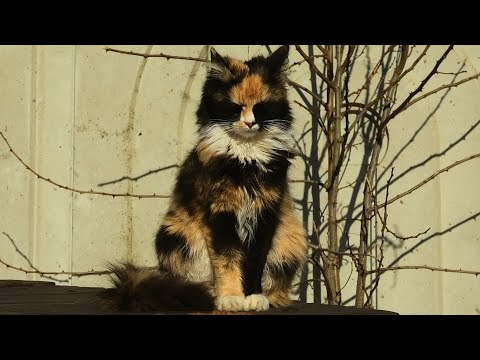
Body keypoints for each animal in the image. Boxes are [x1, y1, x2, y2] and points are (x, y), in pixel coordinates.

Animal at [101, 44, 308, 312]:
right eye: (235, 108)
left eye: (261, 107)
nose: (249, 123)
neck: (246, 158)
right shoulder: (219, 215)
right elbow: (227, 260)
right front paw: (230, 298)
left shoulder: (265, 215)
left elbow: (254, 264)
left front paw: (253, 297)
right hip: (174, 235)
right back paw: (208, 293)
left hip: (291, 241)